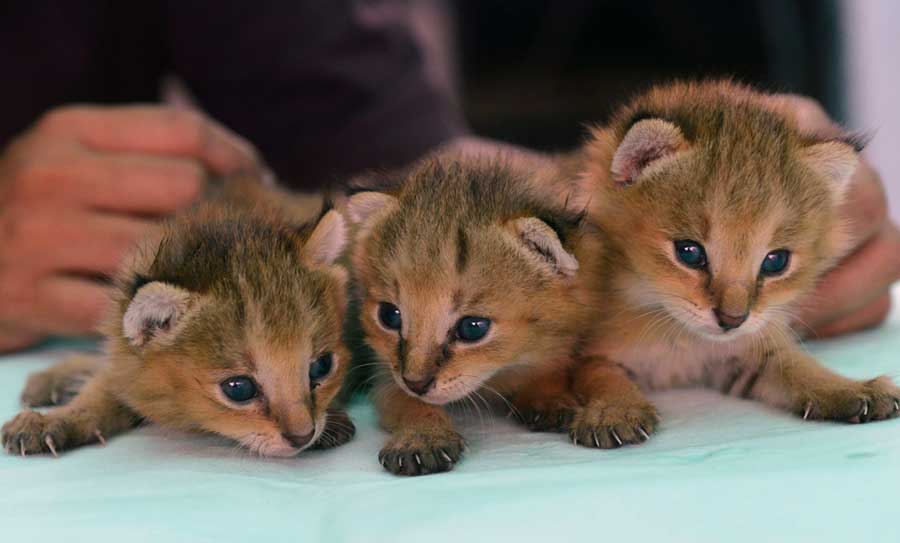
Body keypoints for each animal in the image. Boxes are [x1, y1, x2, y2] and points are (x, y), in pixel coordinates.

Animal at [3, 185, 356, 456]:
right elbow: (109, 382)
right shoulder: (129, 364)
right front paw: (61, 417)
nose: (303, 436)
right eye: (239, 388)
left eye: (321, 367)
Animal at [344, 157, 604, 476]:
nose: (415, 383)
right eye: (389, 316)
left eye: (472, 327)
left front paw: (547, 395)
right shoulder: (385, 372)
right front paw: (421, 437)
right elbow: (404, 400)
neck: (498, 374)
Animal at [568, 79, 900, 446]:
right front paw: (614, 409)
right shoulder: (587, 354)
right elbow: (601, 374)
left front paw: (849, 388)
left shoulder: (745, 349)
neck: (679, 336)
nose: (732, 320)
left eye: (775, 262)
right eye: (689, 252)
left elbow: (794, 364)